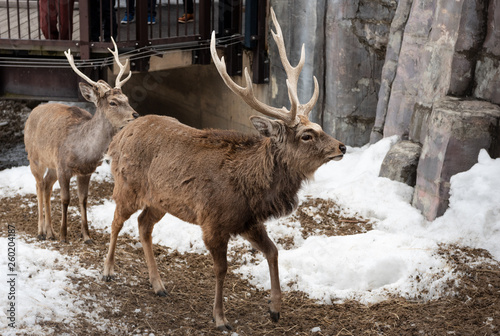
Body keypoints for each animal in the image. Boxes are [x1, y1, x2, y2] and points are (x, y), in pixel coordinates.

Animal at [24, 39, 138, 244]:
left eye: (126, 98)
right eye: (113, 102)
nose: (135, 115)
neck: (83, 151)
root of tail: (34, 111)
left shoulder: (86, 172)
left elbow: (83, 200)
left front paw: (86, 236)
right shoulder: (63, 166)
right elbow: (65, 199)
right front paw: (64, 235)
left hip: (51, 165)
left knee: (46, 185)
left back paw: (50, 232)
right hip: (34, 157)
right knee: (38, 185)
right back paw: (41, 231)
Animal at [103, 7, 346, 330]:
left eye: (319, 126)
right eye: (307, 135)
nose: (342, 147)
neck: (248, 186)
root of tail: (120, 134)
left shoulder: (248, 221)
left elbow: (273, 251)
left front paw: (275, 309)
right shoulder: (213, 222)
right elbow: (222, 269)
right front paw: (220, 318)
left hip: (160, 200)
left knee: (144, 224)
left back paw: (158, 285)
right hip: (127, 184)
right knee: (117, 220)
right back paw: (108, 270)